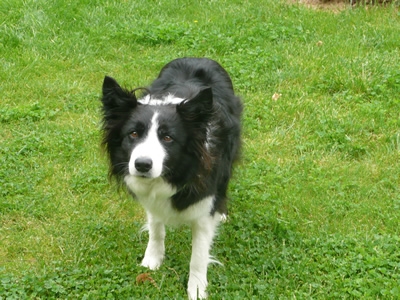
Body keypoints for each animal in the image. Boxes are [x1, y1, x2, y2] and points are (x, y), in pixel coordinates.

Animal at [101, 57, 242, 298]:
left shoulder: (204, 205)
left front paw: (196, 289)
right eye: (133, 134)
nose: (142, 165)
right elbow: (156, 228)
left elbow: (198, 256)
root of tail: (199, 57)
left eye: (167, 138)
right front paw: (152, 260)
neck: (175, 173)